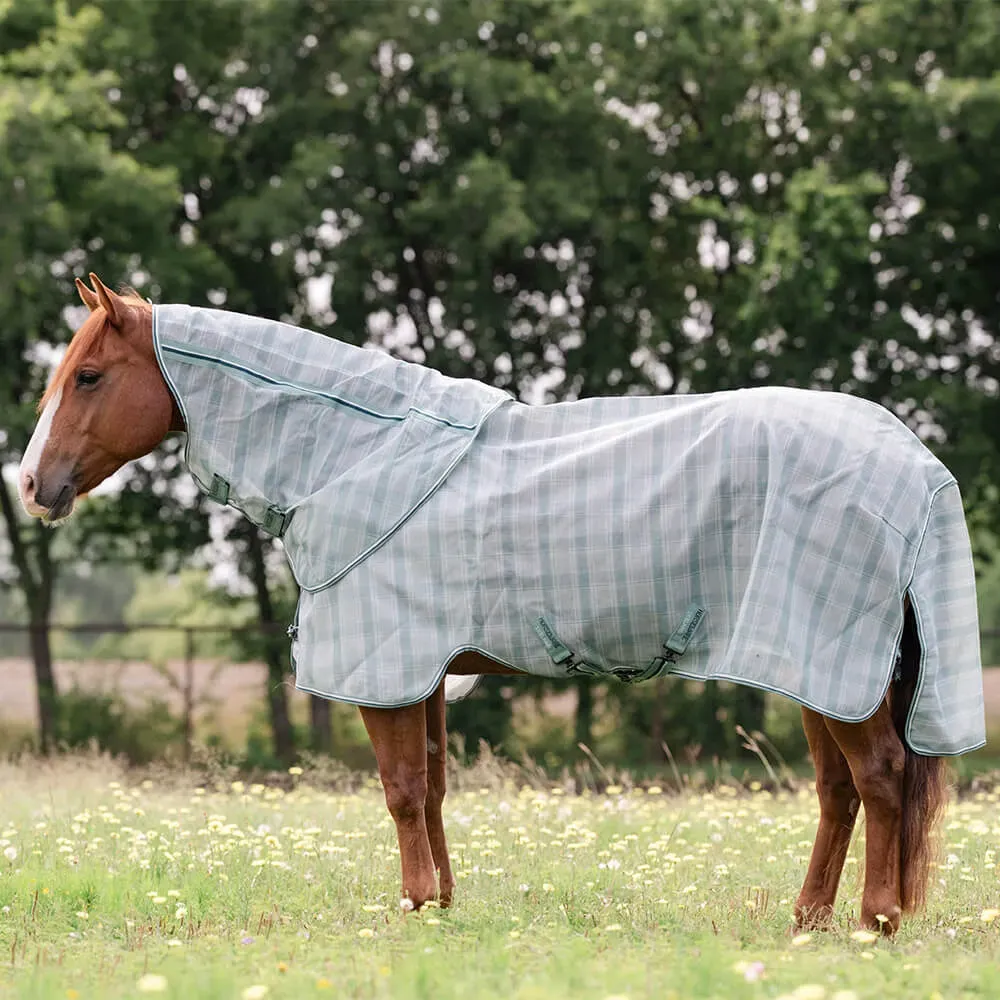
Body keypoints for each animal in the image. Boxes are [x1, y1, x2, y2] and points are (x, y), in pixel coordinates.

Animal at [18, 274, 985, 934]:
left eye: (90, 376)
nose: (31, 485)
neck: (356, 454)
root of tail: (912, 461)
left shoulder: (389, 667)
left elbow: (403, 789)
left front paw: (413, 906)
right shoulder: (427, 673)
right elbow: (434, 786)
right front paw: (442, 905)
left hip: (832, 660)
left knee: (881, 777)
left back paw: (874, 922)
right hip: (817, 665)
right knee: (840, 790)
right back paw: (807, 921)